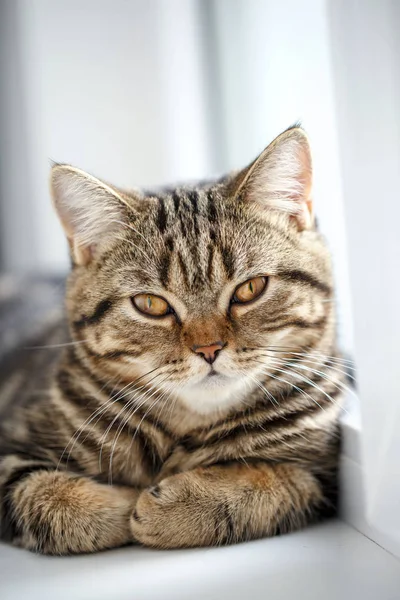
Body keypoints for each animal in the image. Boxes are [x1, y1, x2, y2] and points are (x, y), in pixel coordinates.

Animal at [0, 125, 344, 552]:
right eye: (151, 304)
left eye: (251, 289)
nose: (209, 348)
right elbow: (44, 493)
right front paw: (118, 505)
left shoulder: (322, 472)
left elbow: (269, 483)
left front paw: (180, 505)